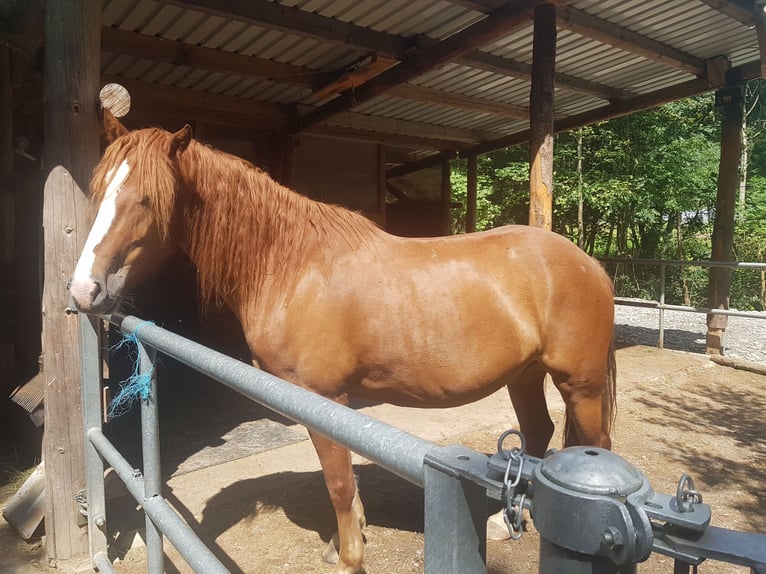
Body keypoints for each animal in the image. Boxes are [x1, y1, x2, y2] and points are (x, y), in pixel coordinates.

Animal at [70, 118, 616, 574]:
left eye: (145, 199)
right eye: (98, 192)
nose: (83, 291)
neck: (291, 265)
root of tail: (588, 262)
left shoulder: (326, 397)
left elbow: (337, 482)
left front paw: (351, 558)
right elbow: (343, 483)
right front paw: (347, 539)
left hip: (580, 385)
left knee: (594, 445)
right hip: (525, 375)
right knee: (539, 430)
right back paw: (504, 522)